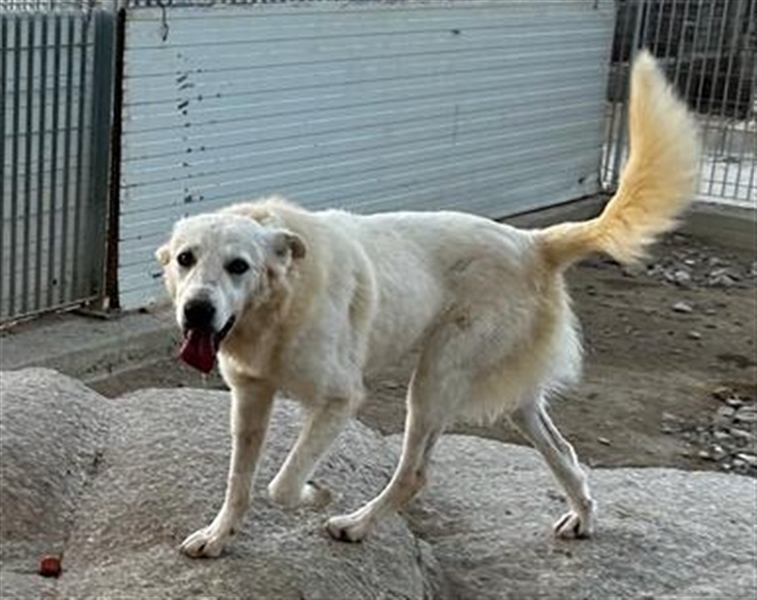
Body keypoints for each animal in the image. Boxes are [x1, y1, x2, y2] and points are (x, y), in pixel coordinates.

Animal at [156, 51, 700, 558]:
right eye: (186, 259)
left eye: (239, 266)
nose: (198, 310)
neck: (279, 307)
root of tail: (534, 242)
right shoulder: (251, 396)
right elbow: (240, 481)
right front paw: (218, 536)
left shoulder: (340, 398)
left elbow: (282, 484)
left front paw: (316, 492)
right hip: (513, 397)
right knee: (563, 450)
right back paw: (582, 517)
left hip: (435, 378)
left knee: (415, 473)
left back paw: (357, 524)